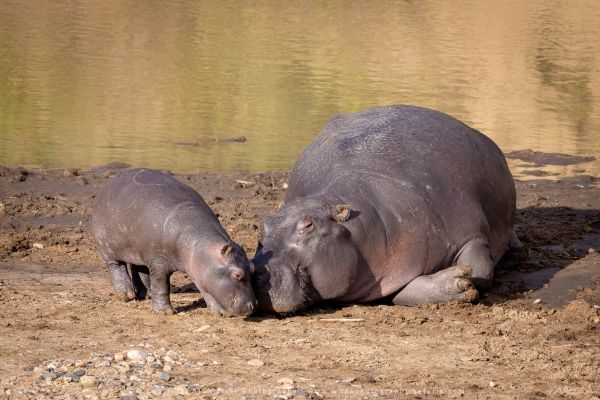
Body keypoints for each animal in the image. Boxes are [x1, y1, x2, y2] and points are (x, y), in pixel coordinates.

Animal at [92, 168, 256, 316]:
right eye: (237, 275)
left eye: (252, 267)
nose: (253, 306)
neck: (198, 244)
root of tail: (109, 184)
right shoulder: (158, 262)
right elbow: (162, 286)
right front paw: (165, 312)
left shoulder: (200, 272)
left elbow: (207, 290)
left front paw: (218, 312)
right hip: (107, 247)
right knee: (116, 267)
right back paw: (127, 295)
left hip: (137, 249)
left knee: (139, 269)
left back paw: (147, 295)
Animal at [252, 104, 516, 314]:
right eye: (263, 225)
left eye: (308, 225)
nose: (255, 273)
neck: (358, 226)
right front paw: (457, 281)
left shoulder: (470, 233)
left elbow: (481, 272)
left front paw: (462, 281)